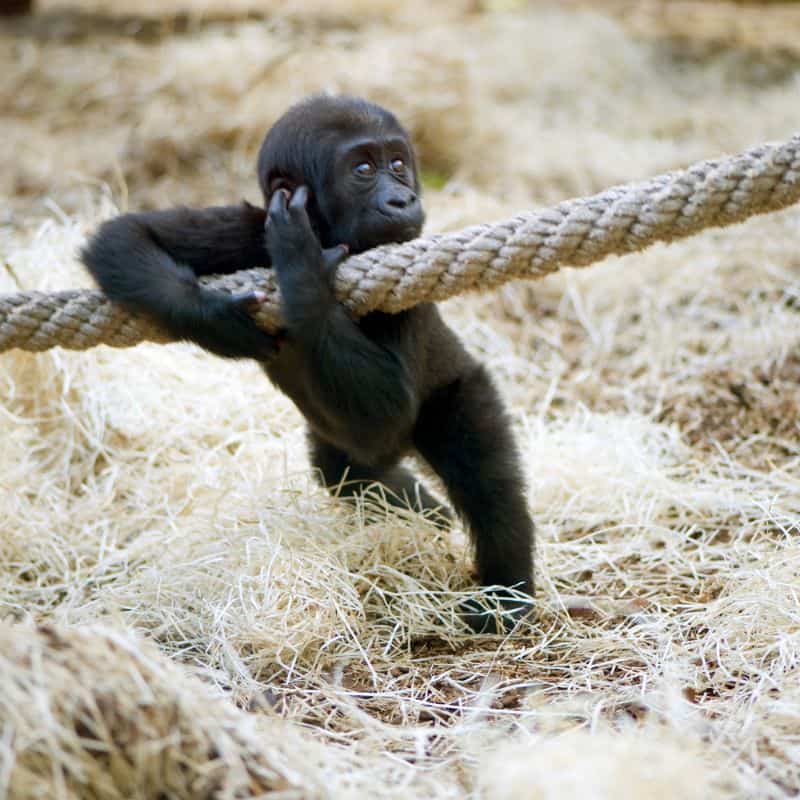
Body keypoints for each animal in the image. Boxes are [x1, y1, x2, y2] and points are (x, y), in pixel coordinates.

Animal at [81, 95, 536, 632]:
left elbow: (388, 409)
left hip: (459, 388)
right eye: (363, 170)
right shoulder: (247, 230)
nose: (402, 200)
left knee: (485, 480)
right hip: (348, 452)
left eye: (398, 164)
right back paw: (424, 511)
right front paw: (216, 320)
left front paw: (301, 268)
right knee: (348, 473)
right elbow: (124, 236)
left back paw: (507, 595)